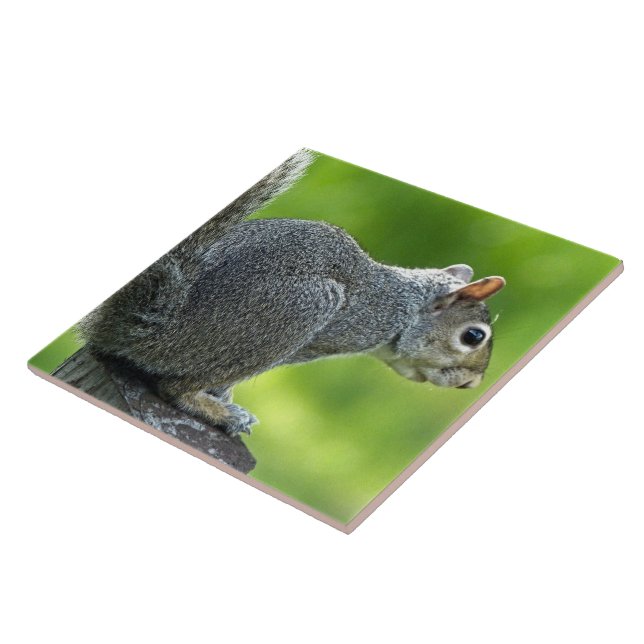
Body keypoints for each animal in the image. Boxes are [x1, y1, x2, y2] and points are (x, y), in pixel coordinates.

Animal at [79, 149, 506, 436]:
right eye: (473, 336)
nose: (470, 385)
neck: (402, 308)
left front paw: (222, 396)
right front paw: (222, 400)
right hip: (300, 310)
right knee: (173, 387)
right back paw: (218, 413)